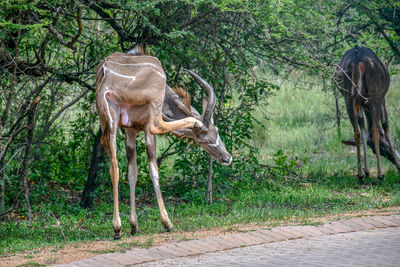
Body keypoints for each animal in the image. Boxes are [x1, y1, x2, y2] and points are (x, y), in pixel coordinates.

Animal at [95, 47, 231, 240]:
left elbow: (132, 172)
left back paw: (117, 228)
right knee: (157, 125)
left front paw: (134, 225)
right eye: (204, 140)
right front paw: (166, 222)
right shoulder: (145, 128)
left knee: (113, 167)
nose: (227, 158)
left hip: (109, 123)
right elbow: (153, 169)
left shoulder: (129, 130)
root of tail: (106, 72)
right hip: (151, 107)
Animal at [334, 46, 400, 182]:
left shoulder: (361, 105)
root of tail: (356, 59)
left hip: (349, 98)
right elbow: (386, 129)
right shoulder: (382, 100)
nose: (399, 164)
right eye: (381, 149)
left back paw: (360, 175)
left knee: (357, 132)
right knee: (375, 129)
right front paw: (397, 166)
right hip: (375, 97)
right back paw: (380, 175)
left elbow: (364, 131)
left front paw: (367, 171)